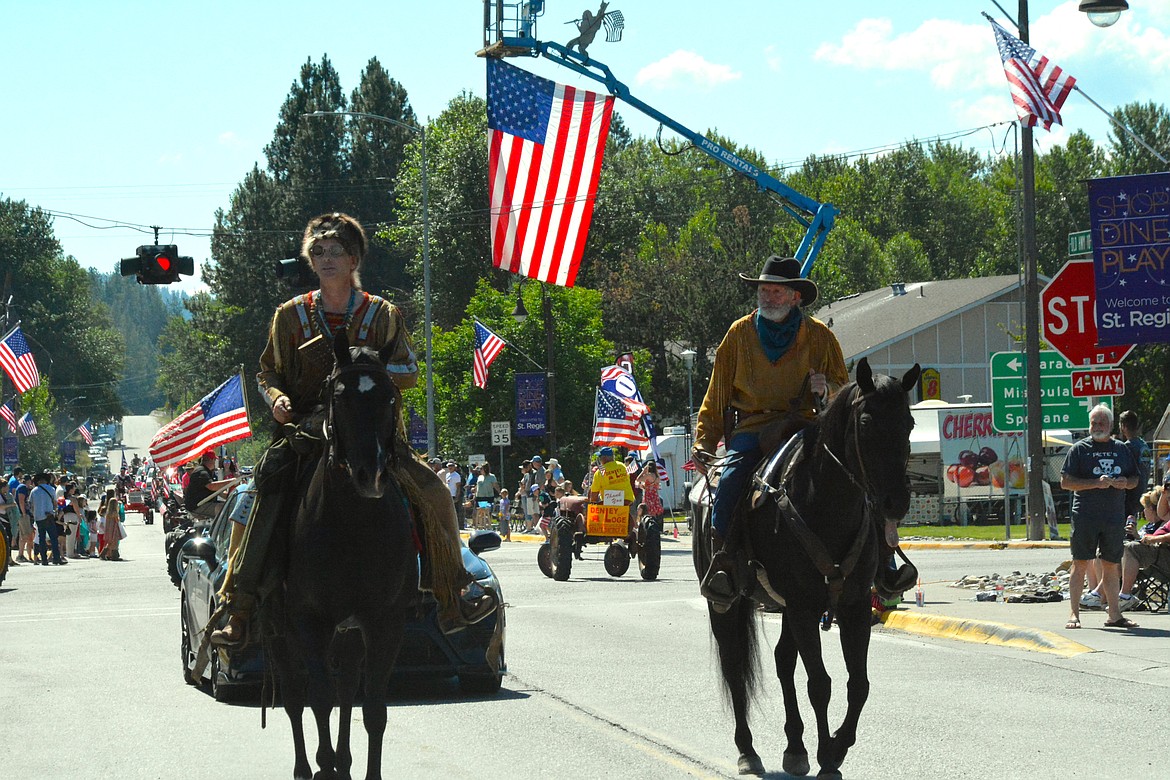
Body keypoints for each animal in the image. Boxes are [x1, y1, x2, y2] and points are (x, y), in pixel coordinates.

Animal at [265, 332, 416, 780]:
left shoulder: (385, 621)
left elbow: (373, 709)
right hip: (276, 627)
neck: (353, 523)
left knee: (347, 689)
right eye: (340, 396)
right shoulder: (309, 621)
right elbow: (318, 699)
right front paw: (324, 766)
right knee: (294, 696)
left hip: (348, 631)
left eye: (389, 397)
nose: (371, 474)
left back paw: (344, 763)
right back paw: (306, 767)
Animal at [687, 360, 917, 780]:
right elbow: (820, 684)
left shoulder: (852, 605)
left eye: (908, 422)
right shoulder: (804, 607)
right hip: (727, 605)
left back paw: (795, 747)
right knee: (734, 666)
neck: (825, 504)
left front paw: (837, 747)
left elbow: (858, 684)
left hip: (787, 609)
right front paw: (828, 756)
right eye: (865, 420)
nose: (895, 501)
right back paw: (747, 751)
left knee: (782, 661)